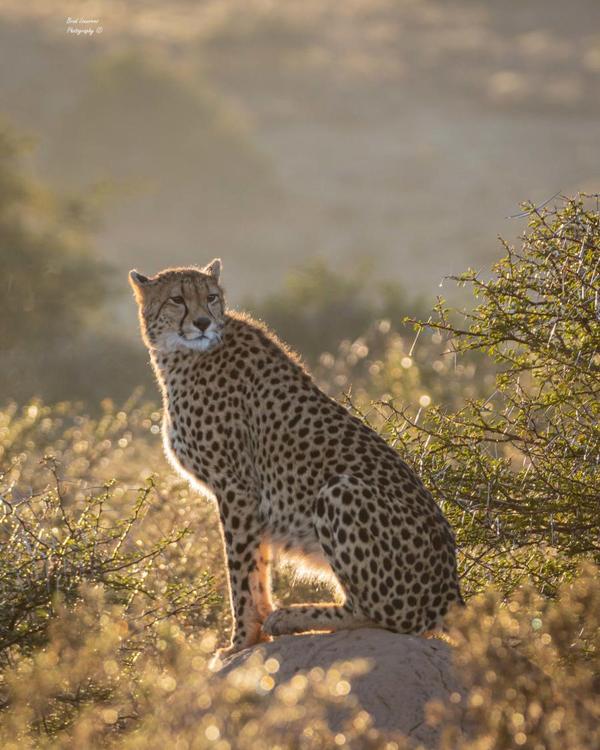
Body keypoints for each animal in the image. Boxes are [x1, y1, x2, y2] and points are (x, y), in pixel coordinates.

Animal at [129, 262, 462, 656]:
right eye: (177, 299)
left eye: (210, 297)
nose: (202, 322)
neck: (181, 354)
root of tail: (452, 588)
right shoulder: (249, 499)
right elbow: (258, 569)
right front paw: (254, 634)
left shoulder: (236, 488)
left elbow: (240, 572)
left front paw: (241, 641)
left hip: (340, 489)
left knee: (386, 615)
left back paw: (293, 617)